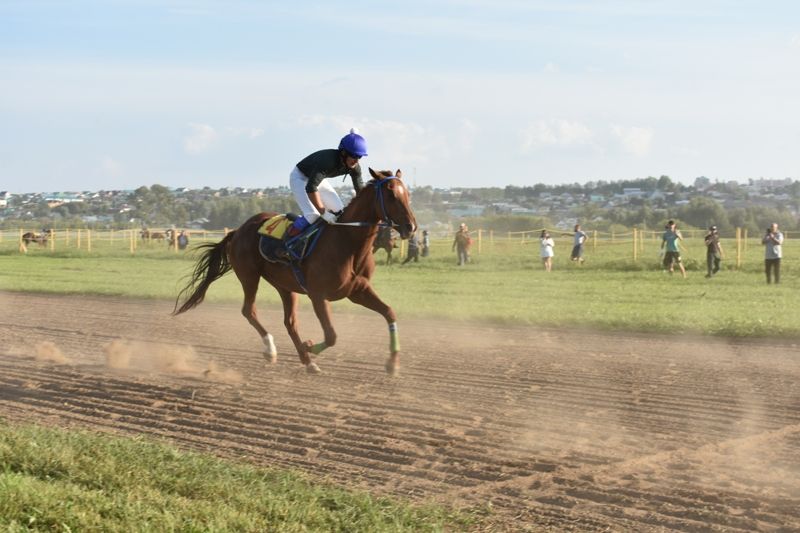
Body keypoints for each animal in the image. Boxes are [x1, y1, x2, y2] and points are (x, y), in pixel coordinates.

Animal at [172, 169, 416, 374]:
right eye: (391, 195)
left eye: (407, 194)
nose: (411, 227)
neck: (346, 241)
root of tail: (238, 230)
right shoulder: (319, 295)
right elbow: (332, 336)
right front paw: (309, 346)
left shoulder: (357, 290)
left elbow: (389, 312)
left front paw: (392, 363)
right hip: (249, 276)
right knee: (249, 311)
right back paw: (272, 350)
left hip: (285, 286)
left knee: (289, 322)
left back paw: (307, 362)